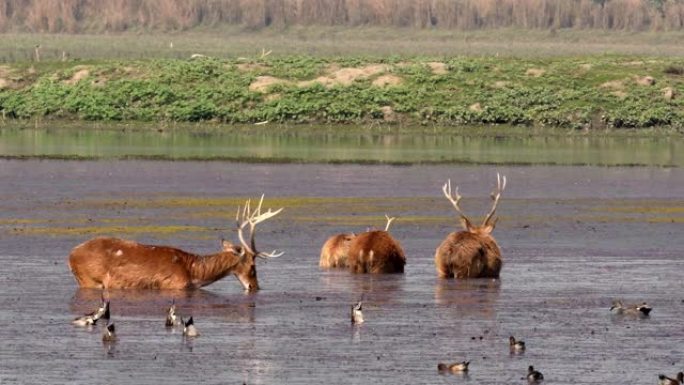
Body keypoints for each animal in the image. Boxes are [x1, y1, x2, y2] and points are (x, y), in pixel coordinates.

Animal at [69, 195, 284, 292]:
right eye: (253, 267)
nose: (255, 287)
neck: (193, 272)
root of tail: (71, 255)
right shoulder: (175, 284)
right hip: (89, 279)